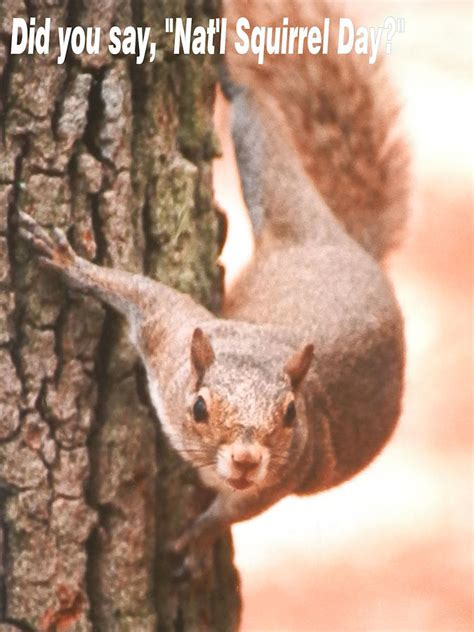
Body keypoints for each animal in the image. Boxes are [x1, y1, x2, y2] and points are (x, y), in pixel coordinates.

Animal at [18, 0, 410, 572]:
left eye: (290, 414)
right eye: (200, 407)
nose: (246, 459)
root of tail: (344, 245)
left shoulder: (288, 470)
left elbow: (236, 512)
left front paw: (193, 541)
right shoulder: (170, 333)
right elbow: (138, 291)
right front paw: (68, 261)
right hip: (281, 191)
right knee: (256, 125)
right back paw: (232, 76)